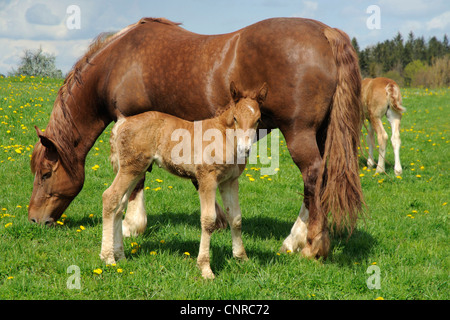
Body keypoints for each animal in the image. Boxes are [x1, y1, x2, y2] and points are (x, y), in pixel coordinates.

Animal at [100, 83, 268, 280]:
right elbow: (208, 220)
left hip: (136, 170)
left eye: (258, 119)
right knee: (110, 197)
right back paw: (108, 258)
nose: (245, 149)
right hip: (130, 169)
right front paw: (205, 269)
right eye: (235, 118)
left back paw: (120, 256)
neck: (223, 136)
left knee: (119, 206)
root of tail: (122, 122)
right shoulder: (207, 179)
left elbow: (236, 218)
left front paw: (242, 258)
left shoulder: (230, 181)